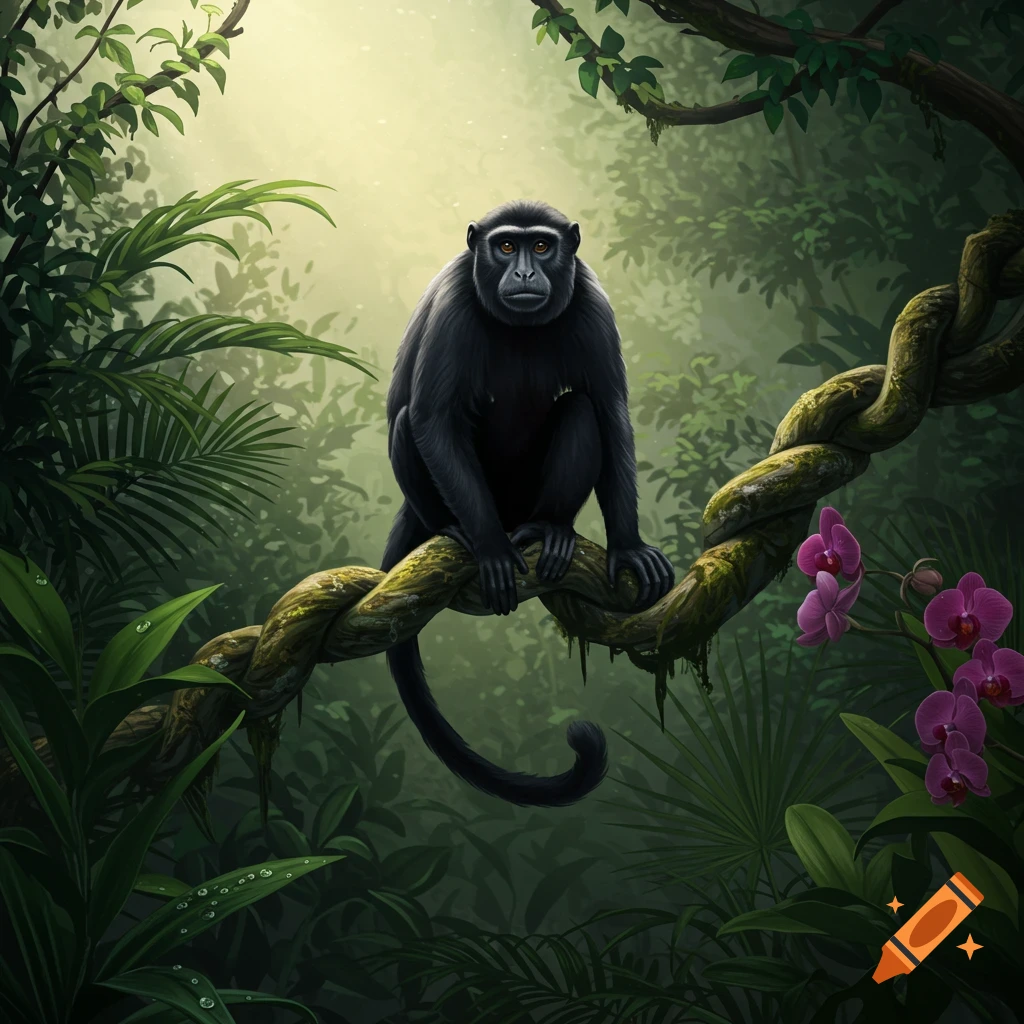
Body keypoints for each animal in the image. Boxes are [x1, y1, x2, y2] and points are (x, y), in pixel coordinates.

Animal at [379, 199, 674, 807]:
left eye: (541, 246)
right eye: (505, 246)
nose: (522, 272)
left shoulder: (593, 303)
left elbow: (609, 410)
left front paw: (628, 546)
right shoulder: (453, 305)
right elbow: (433, 419)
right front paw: (490, 550)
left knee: (580, 408)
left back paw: (551, 530)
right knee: (409, 421)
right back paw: (456, 531)